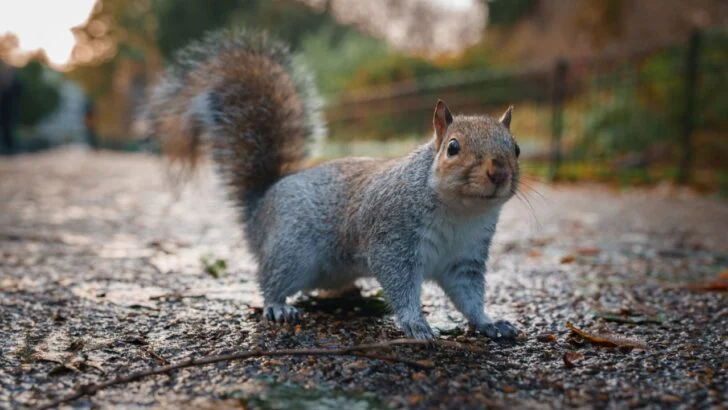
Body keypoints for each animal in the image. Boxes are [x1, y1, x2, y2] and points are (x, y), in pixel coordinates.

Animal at [141, 29, 522, 341]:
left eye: (516, 148)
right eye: (453, 148)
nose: (499, 172)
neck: (460, 212)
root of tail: (260, 205)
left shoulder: (464, 258)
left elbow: (469, 295)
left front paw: (489, 322)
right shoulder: (393, 239)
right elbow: (399, 283)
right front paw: (416, 323)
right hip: (291, 251)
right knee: (271, 279)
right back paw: (279, 305)